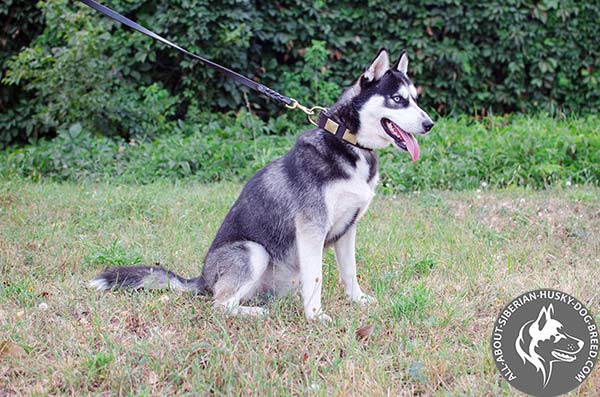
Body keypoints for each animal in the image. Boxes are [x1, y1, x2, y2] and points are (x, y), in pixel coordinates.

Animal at [89, 50, 434, 322]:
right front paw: (315, 316)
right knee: (220, 305)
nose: (430, 124)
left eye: (415, 99)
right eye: (398, 99)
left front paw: (358, 301)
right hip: (253, 251)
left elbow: (349, 272)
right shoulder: (312, 229)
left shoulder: (348, 229)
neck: (348, 142)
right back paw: (254, 313)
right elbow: (317, 277)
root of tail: (202, 279)